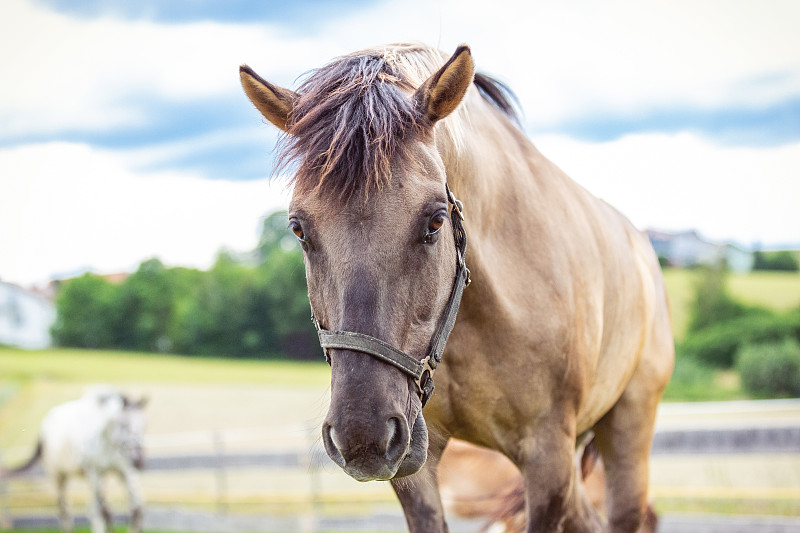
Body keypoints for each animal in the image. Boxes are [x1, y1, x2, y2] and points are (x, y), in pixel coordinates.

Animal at [3, 386, 147, 532]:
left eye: (143, 426)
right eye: (124, 424)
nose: (138, 460)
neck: (107, 440)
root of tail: (44, 426)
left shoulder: (125, 472)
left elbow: (136, 509)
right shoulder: (94, 472)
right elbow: (101, 510)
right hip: (58, 476)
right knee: (64, 509)